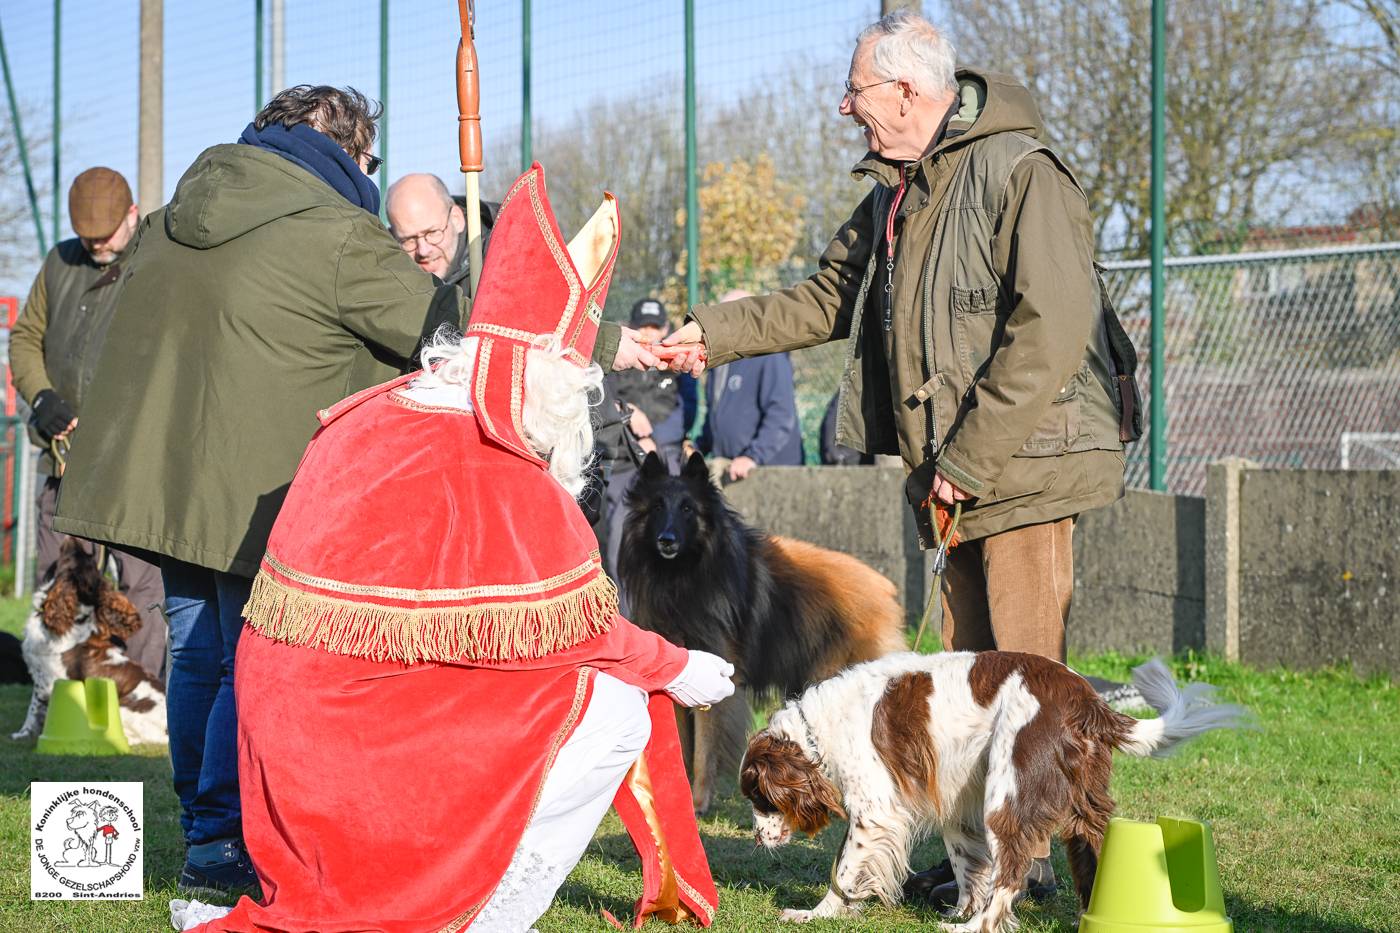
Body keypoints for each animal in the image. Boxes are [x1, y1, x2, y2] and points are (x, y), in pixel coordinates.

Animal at [621, 448, 901, 806]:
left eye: (687, 509)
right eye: (657, 506)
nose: (666, 540)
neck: (683, 579)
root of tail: (884, 586)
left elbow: (703, 751)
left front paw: (698, 803)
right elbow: (682, 749)